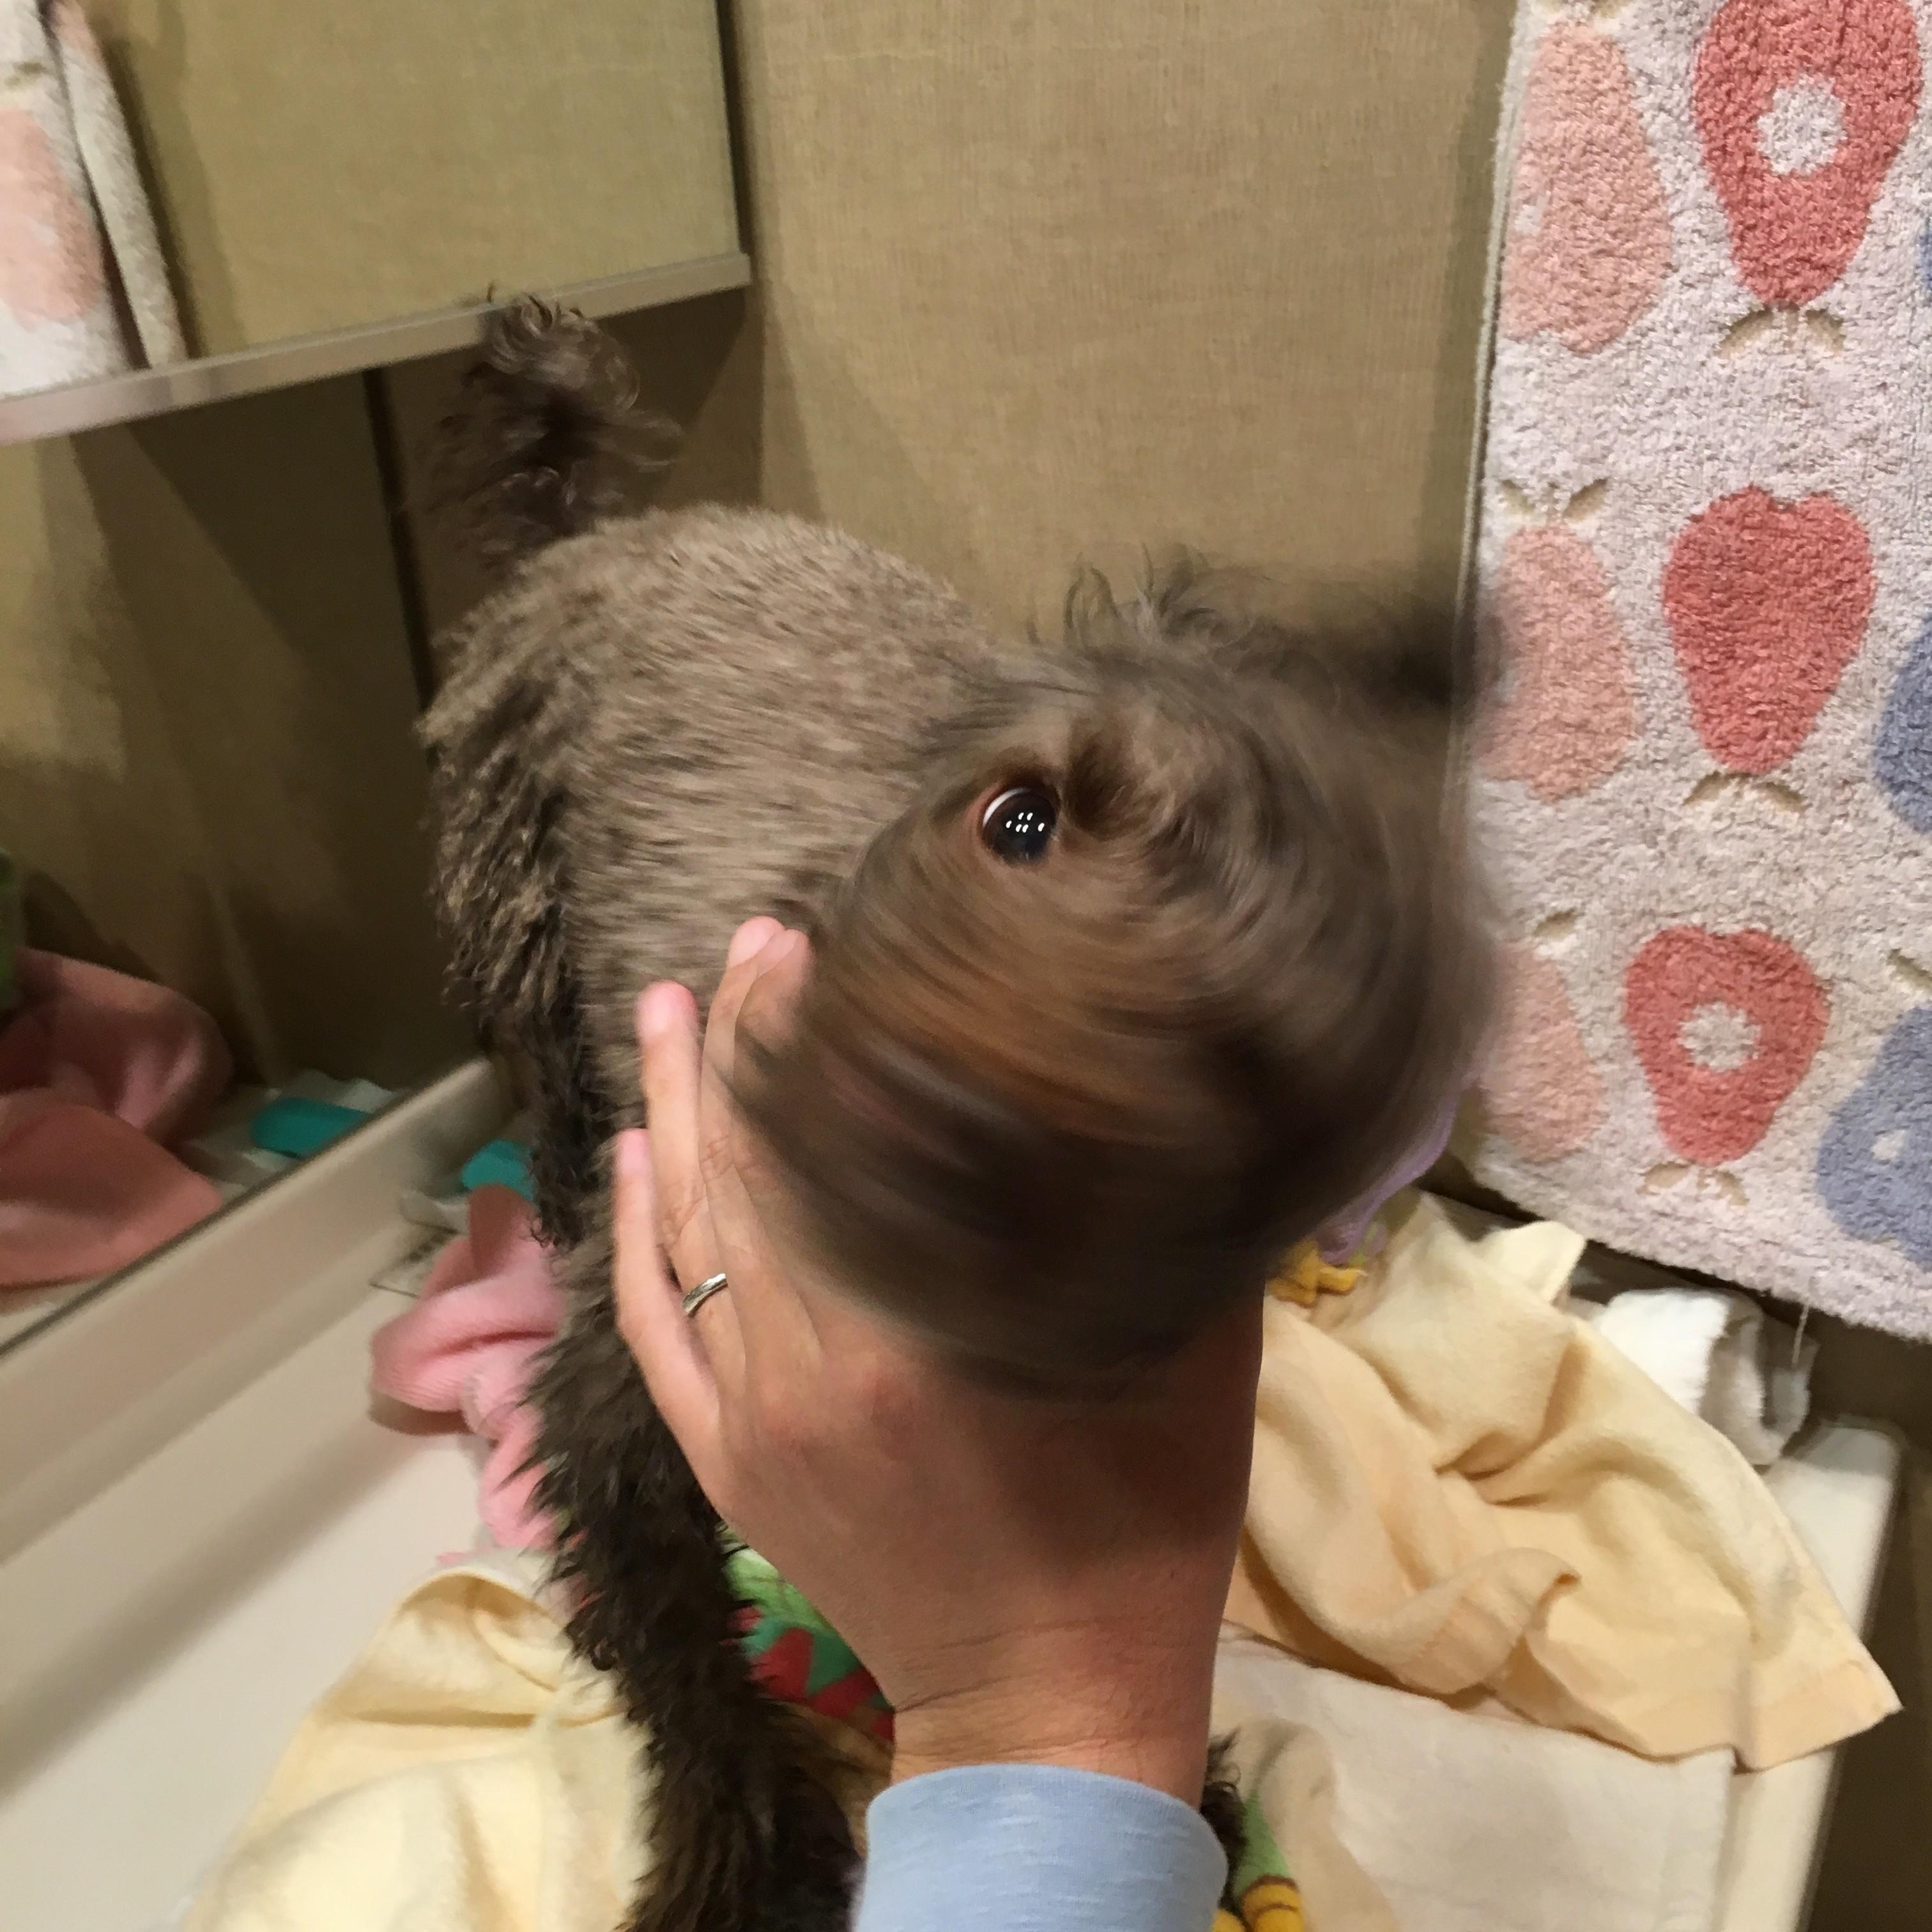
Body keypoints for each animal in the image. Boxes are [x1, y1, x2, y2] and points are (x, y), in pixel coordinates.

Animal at [420, 298, 1488, 1932]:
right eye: (1022, 819)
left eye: (1268, 1086)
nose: (922, 1130)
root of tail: (614, 524)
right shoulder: (625, 1396)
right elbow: (675, 1643)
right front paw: (744, 1849)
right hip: (524, 906)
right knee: (546, 1076)